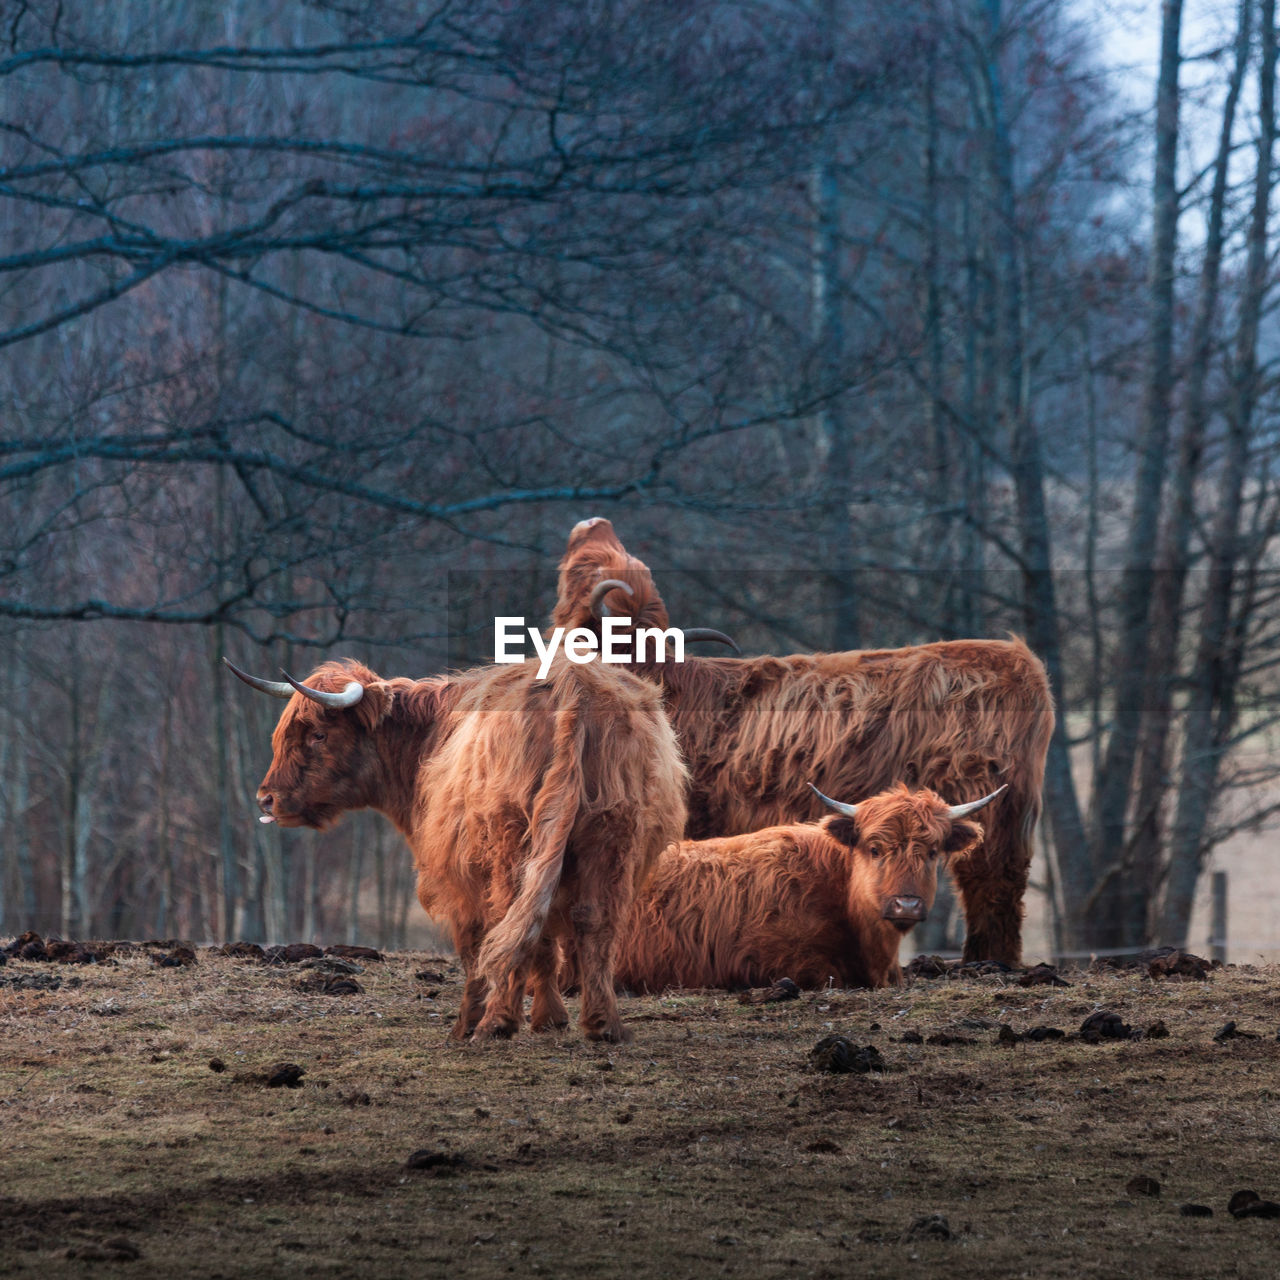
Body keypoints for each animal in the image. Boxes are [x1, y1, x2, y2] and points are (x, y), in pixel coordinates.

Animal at [230, 650, 691, 1039]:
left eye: (319, 735)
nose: (265, 798)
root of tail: (572, 684)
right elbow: (545, 939)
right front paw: (549, 1018)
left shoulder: (455, 871)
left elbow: (476, 942)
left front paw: (469, 1023)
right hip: (612, 834)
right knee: (591, 919)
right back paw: (602, 1025)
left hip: (509, 843)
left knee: (512, 917)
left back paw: (495, 1023)